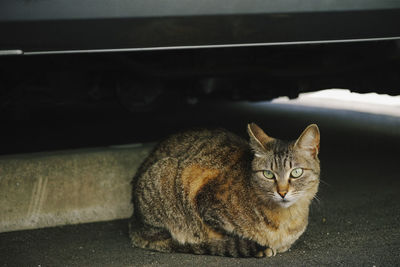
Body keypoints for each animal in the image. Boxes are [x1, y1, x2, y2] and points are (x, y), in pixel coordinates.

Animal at [130, 123, 320, 258]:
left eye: (296, 172)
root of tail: (134, 221)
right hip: (164, 175)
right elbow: (223, 235)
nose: (282, 192)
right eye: (268, 174)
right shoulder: (204, 203)